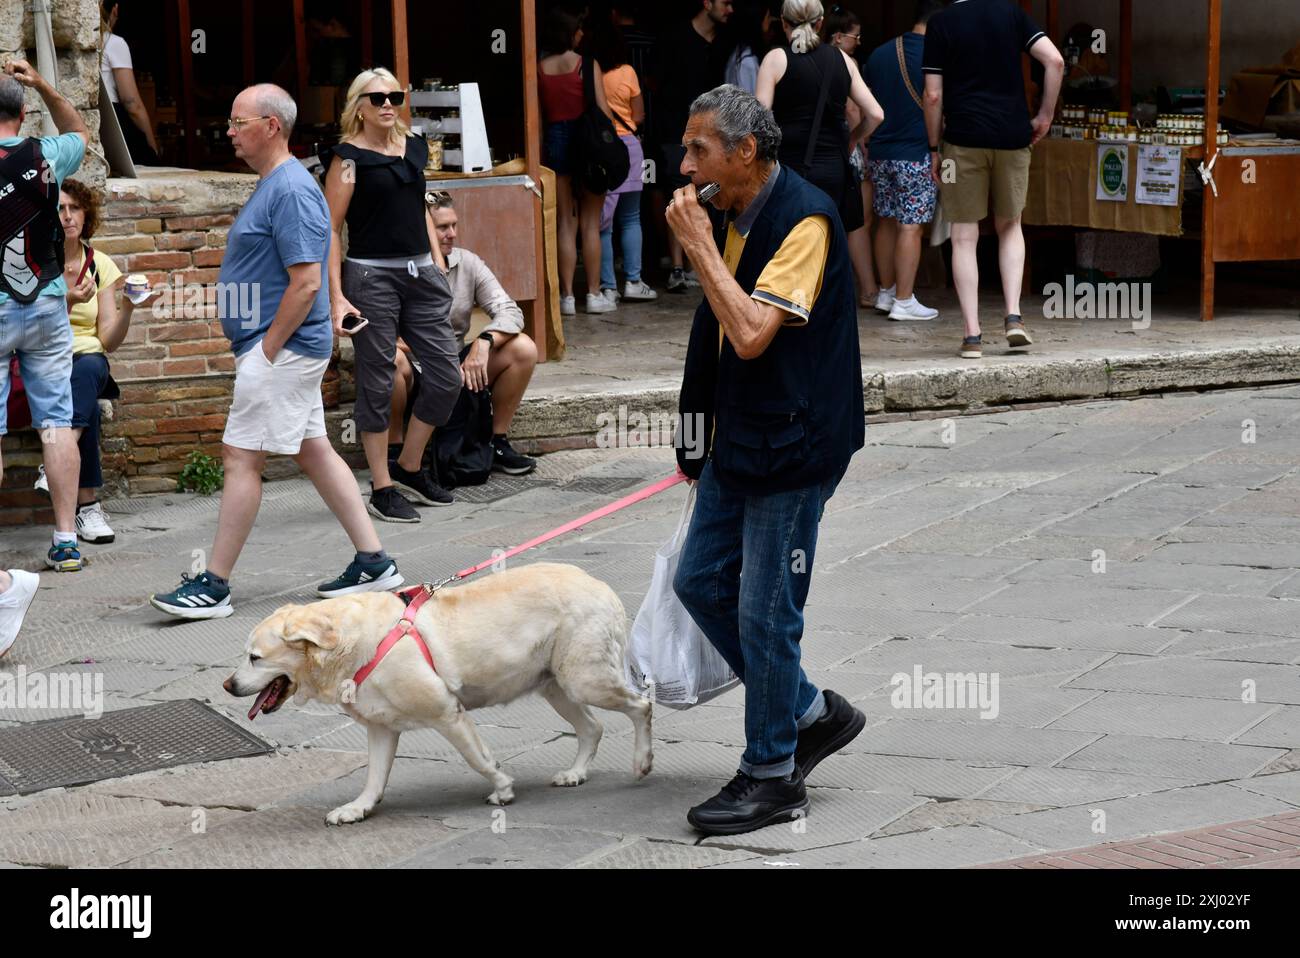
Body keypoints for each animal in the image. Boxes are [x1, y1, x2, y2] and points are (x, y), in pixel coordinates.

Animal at [223, 561, 655, 821]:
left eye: (255, 657)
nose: (227, 686)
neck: (355, 644)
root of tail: (600, 585)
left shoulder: (448, 713)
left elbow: (478, 759)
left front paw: (502, 788)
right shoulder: (381, 728)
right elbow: (374, 777)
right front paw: (357, 809)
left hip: (585, 679)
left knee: (641, 706)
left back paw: (642, 762)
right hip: (557, 685)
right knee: (593, 727)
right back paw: (576, 773)